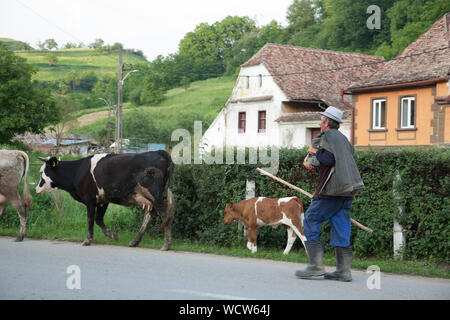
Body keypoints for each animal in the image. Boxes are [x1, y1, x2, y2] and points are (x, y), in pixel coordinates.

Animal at [35, 149, 174, 248]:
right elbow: (98, 219)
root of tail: (159, 152)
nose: (36, 189)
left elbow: (90, 219)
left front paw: (87, 240)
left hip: (155, 195)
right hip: (150, 199)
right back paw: (135, 241)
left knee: (165, 214)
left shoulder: (90, 200)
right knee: (149, 216)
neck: (77, 171)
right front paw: (112, 235)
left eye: (42, 172)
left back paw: (166, 244)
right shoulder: (103, 200)